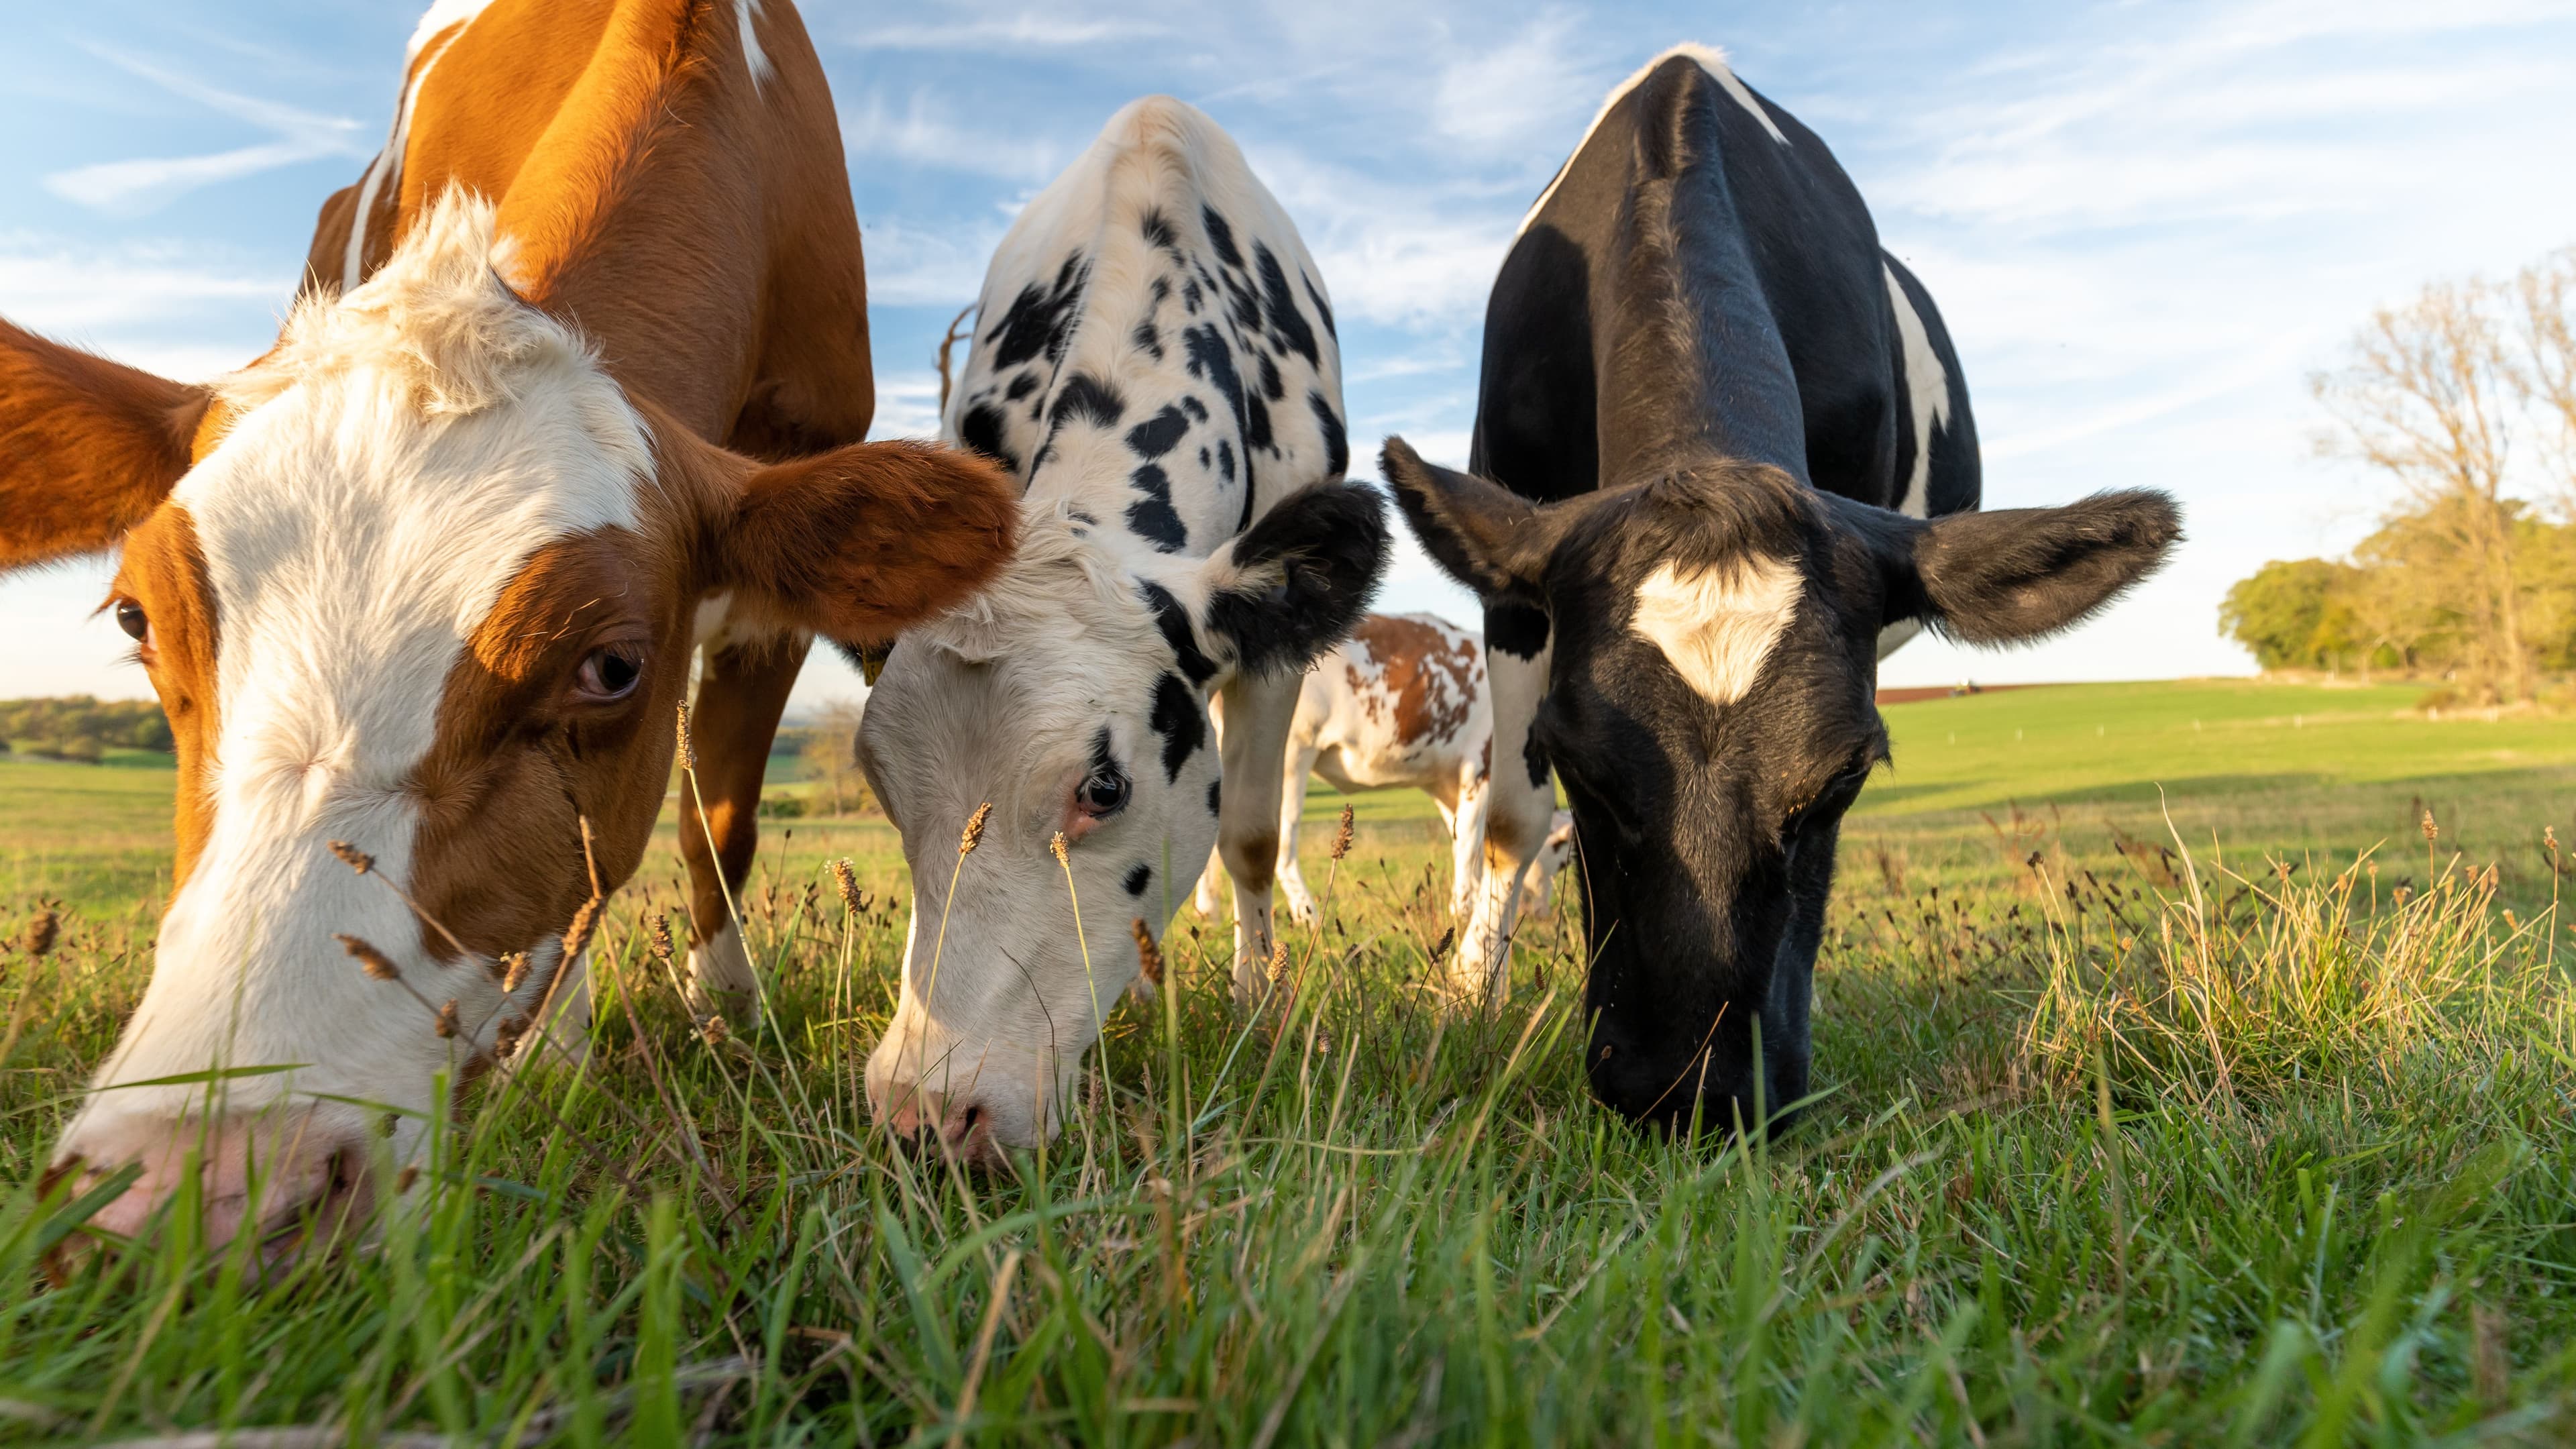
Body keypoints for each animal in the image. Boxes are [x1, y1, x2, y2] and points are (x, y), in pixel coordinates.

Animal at [10, 0, 1014, 1252]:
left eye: (612, 664)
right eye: (140, 618)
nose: (191, 1193)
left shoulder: (778, 565)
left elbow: (715, 825)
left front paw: (727, 1018)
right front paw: (558, 1056)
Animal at [860, 96, 1391, 1155]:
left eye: (1103, 789)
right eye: (881, 784)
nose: (923, 1111)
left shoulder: (1273, 657)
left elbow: (1251, 837)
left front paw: (1257, 1008)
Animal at [1195, 608, 1576, 922]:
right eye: (1561, 862)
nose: (1541, 914)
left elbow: (1462, 841)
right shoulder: (1481, 764)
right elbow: (1471, 843)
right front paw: (1465, 911)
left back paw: (1210, 911)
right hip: (1291, 751)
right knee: (1280, 839)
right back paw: (1307, 914)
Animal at [1391, 42, 2174, 1129]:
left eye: (1847, 773)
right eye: (1578, 760)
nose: (1693, 1094)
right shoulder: (1511, 578)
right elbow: (1511, 819)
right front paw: (1470, 999)